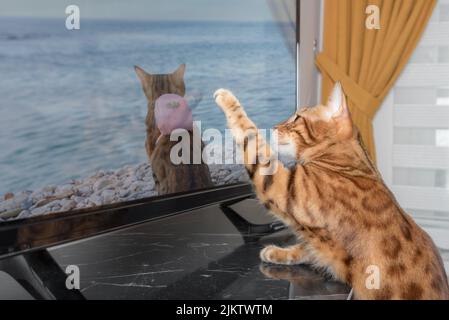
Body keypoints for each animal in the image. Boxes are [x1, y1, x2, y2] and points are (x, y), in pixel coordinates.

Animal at [214, 83, 448, 300]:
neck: (346, 164)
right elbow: (307, 248)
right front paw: (278, 252)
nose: (273, 126)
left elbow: (251, 136)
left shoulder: (285, 187)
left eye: (296, 118)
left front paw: (227, 99)